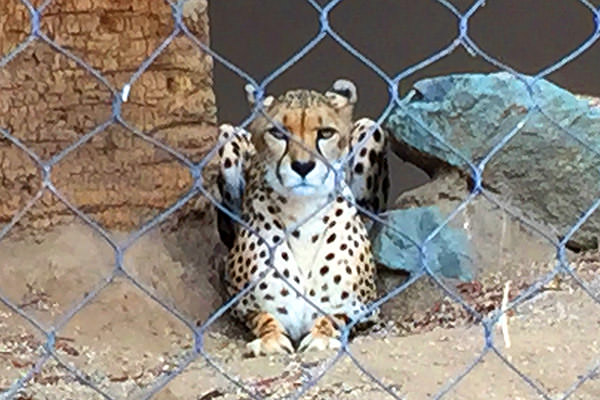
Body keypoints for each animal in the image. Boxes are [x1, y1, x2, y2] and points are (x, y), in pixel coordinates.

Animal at [216, 79, 390, 356]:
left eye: (326, 133)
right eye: (277, 133)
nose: (303, 166)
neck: (303, 215)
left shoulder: (366, 307)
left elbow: (334, 317)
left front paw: (321, 336)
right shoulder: (240, 303)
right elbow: (264, 317)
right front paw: (270, 339)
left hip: (369, 128)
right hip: (227, 135)